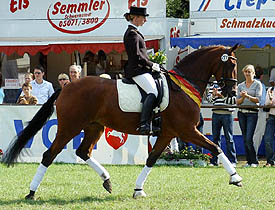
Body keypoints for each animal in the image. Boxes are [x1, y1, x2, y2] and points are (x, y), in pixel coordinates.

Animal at [2, 44, 244, 199]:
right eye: (230, 65)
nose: (231, 93)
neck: (183, 86)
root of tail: (66, 87)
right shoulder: (186, 130)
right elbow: (215, 146)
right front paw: (236, 177)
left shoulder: (169, 133)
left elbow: (152, 159)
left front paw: (138, 190)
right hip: (70, 127)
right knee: (49, 155)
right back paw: (31, 193)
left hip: (94, 127)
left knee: (83, 152)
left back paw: (107, 180)